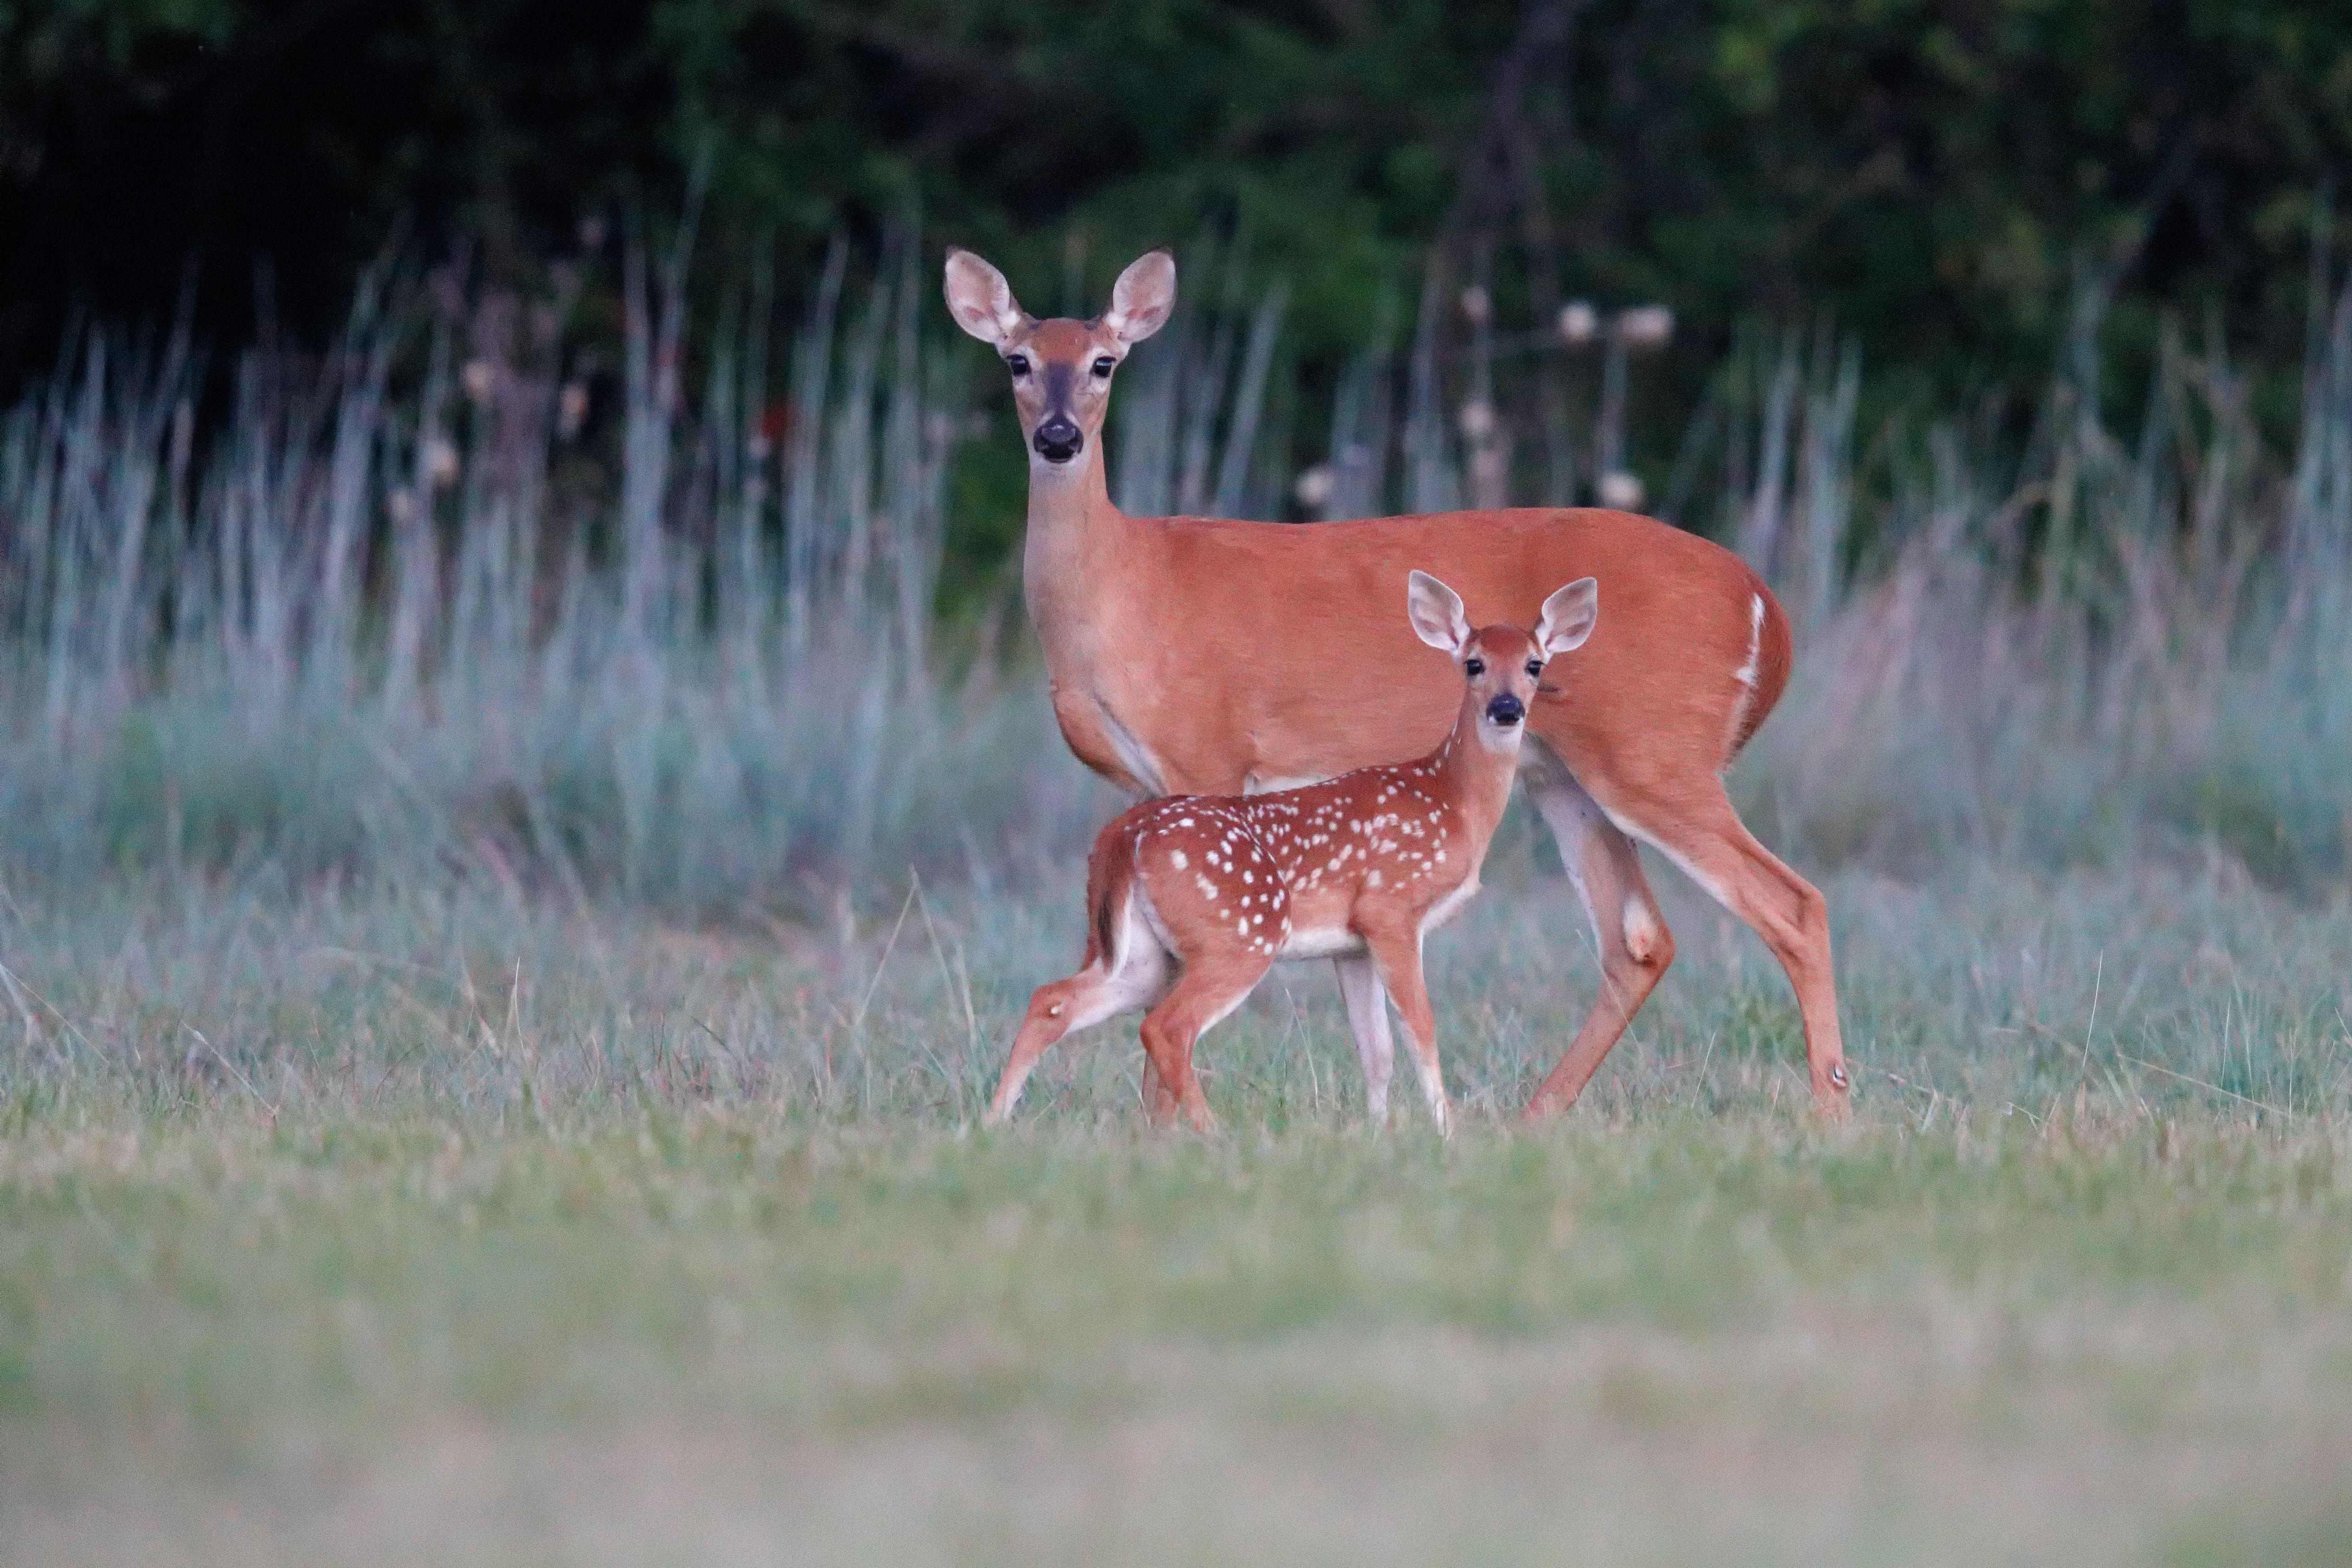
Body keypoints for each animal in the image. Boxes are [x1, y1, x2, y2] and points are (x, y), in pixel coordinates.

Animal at [986, 571, 1598, 1132]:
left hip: (1137, 950)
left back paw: (993, 1122)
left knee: (1053, 998)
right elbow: (1420, 1028)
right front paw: (1446, 1133)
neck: (1453, 802)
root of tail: (1123, 835)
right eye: (1473, 663)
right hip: (1238, 934)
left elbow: (1376, 1050)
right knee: (1166, 1027)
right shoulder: (1392, 908)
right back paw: (1214, 1136)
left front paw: (1380, 1134)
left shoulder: (1352, 945)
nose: (1506, 708)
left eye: (1534, 665)